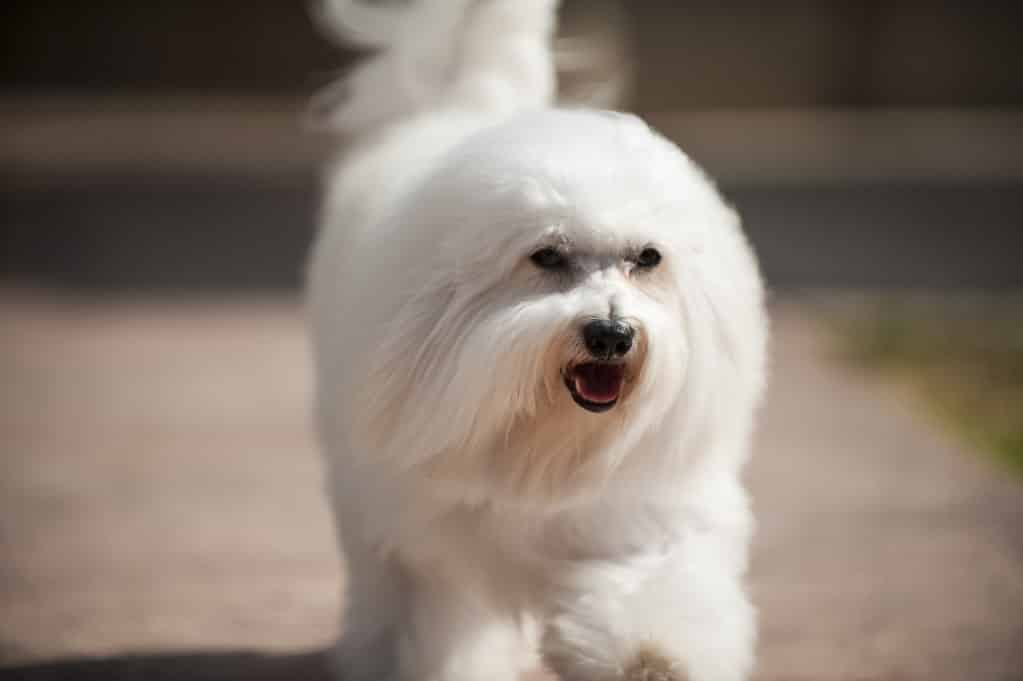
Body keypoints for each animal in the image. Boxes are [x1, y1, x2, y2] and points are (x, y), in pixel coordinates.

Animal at [306, 2, 765, 674]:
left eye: (648, 257)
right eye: (546, 255)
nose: (611, 334)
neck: (542, 439)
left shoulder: (638, 512)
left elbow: (649, 584)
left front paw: (651, 658)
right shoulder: (425, 539)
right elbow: (434, 617)